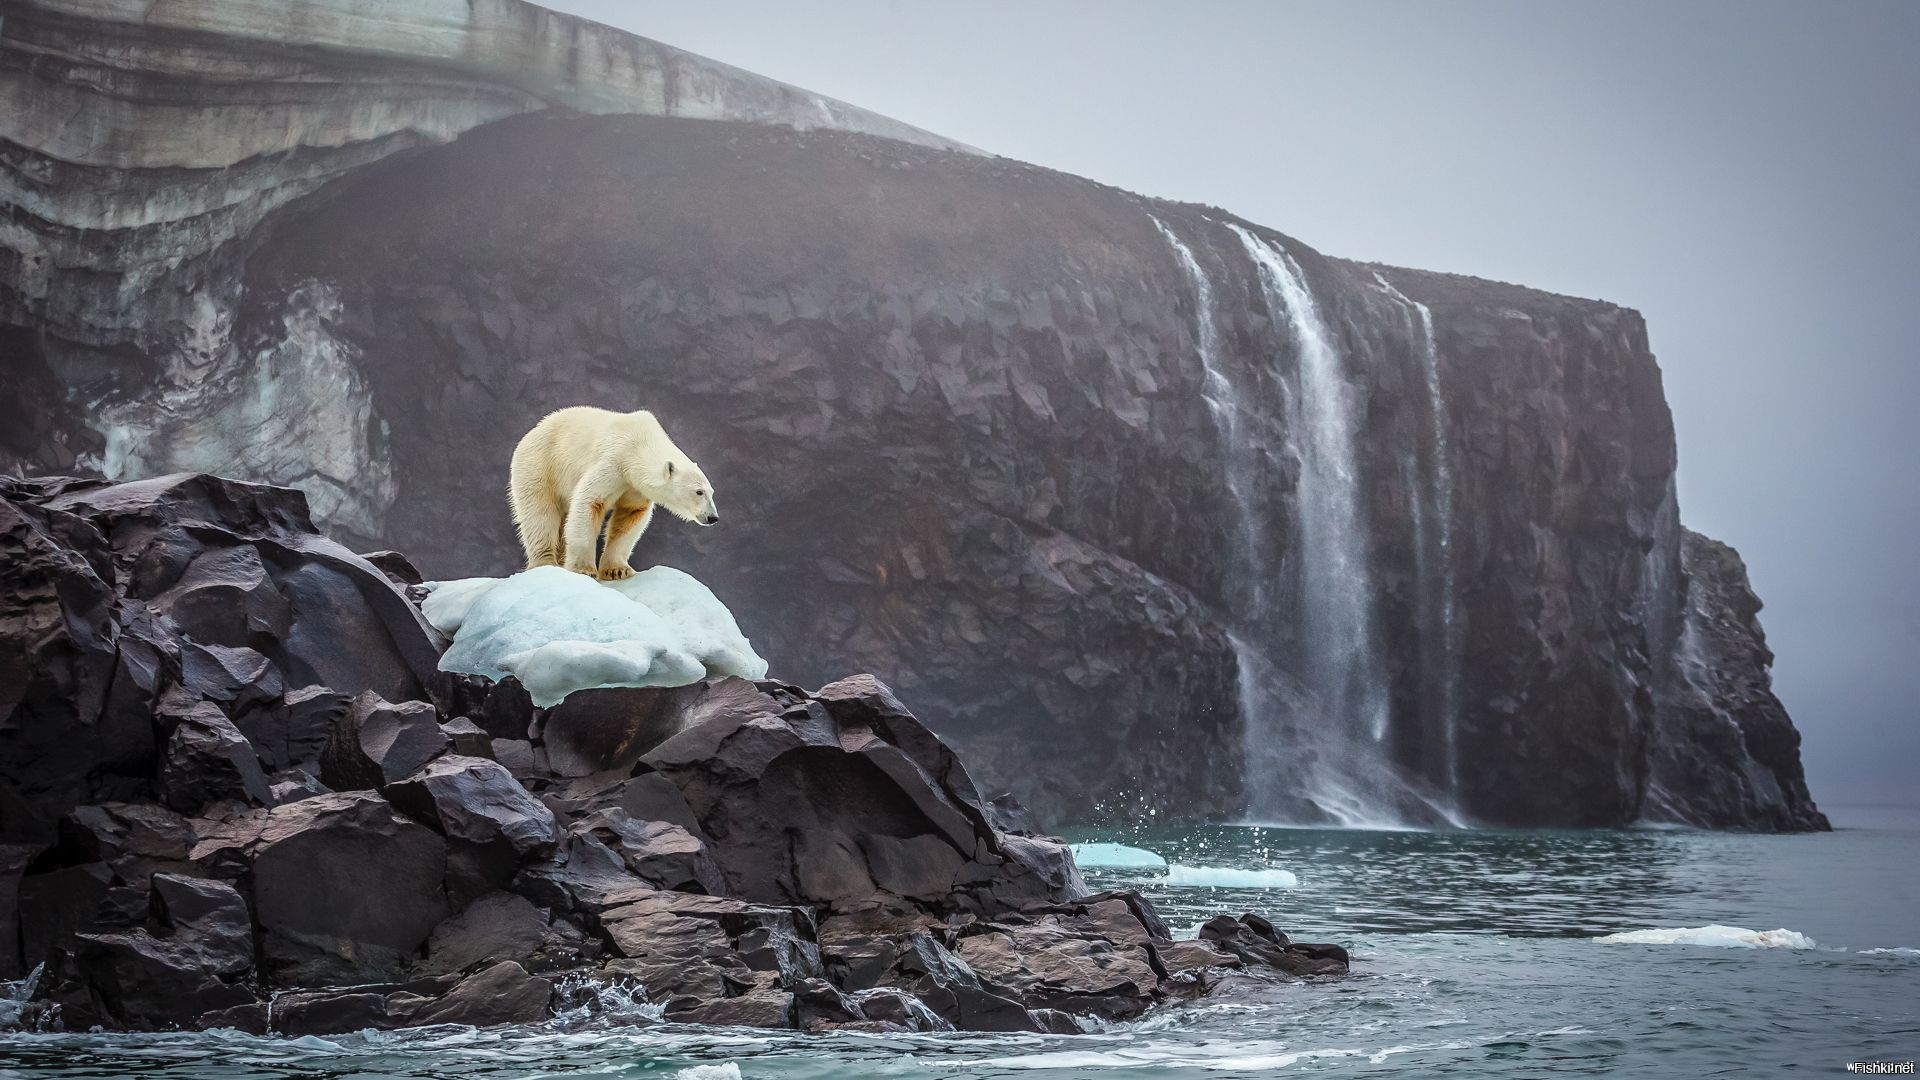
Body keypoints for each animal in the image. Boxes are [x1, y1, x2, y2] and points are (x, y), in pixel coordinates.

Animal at [510, 403, 721, 576]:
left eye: (711, 492)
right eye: (699, 492)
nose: (713, 517)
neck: (639, 444)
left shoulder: (635, 487)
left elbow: (630, 516)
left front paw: (617, 570)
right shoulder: (614, 461)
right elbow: (590, 501)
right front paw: (584, 569)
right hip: (540, 466)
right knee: (540, 515)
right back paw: (545, 562)